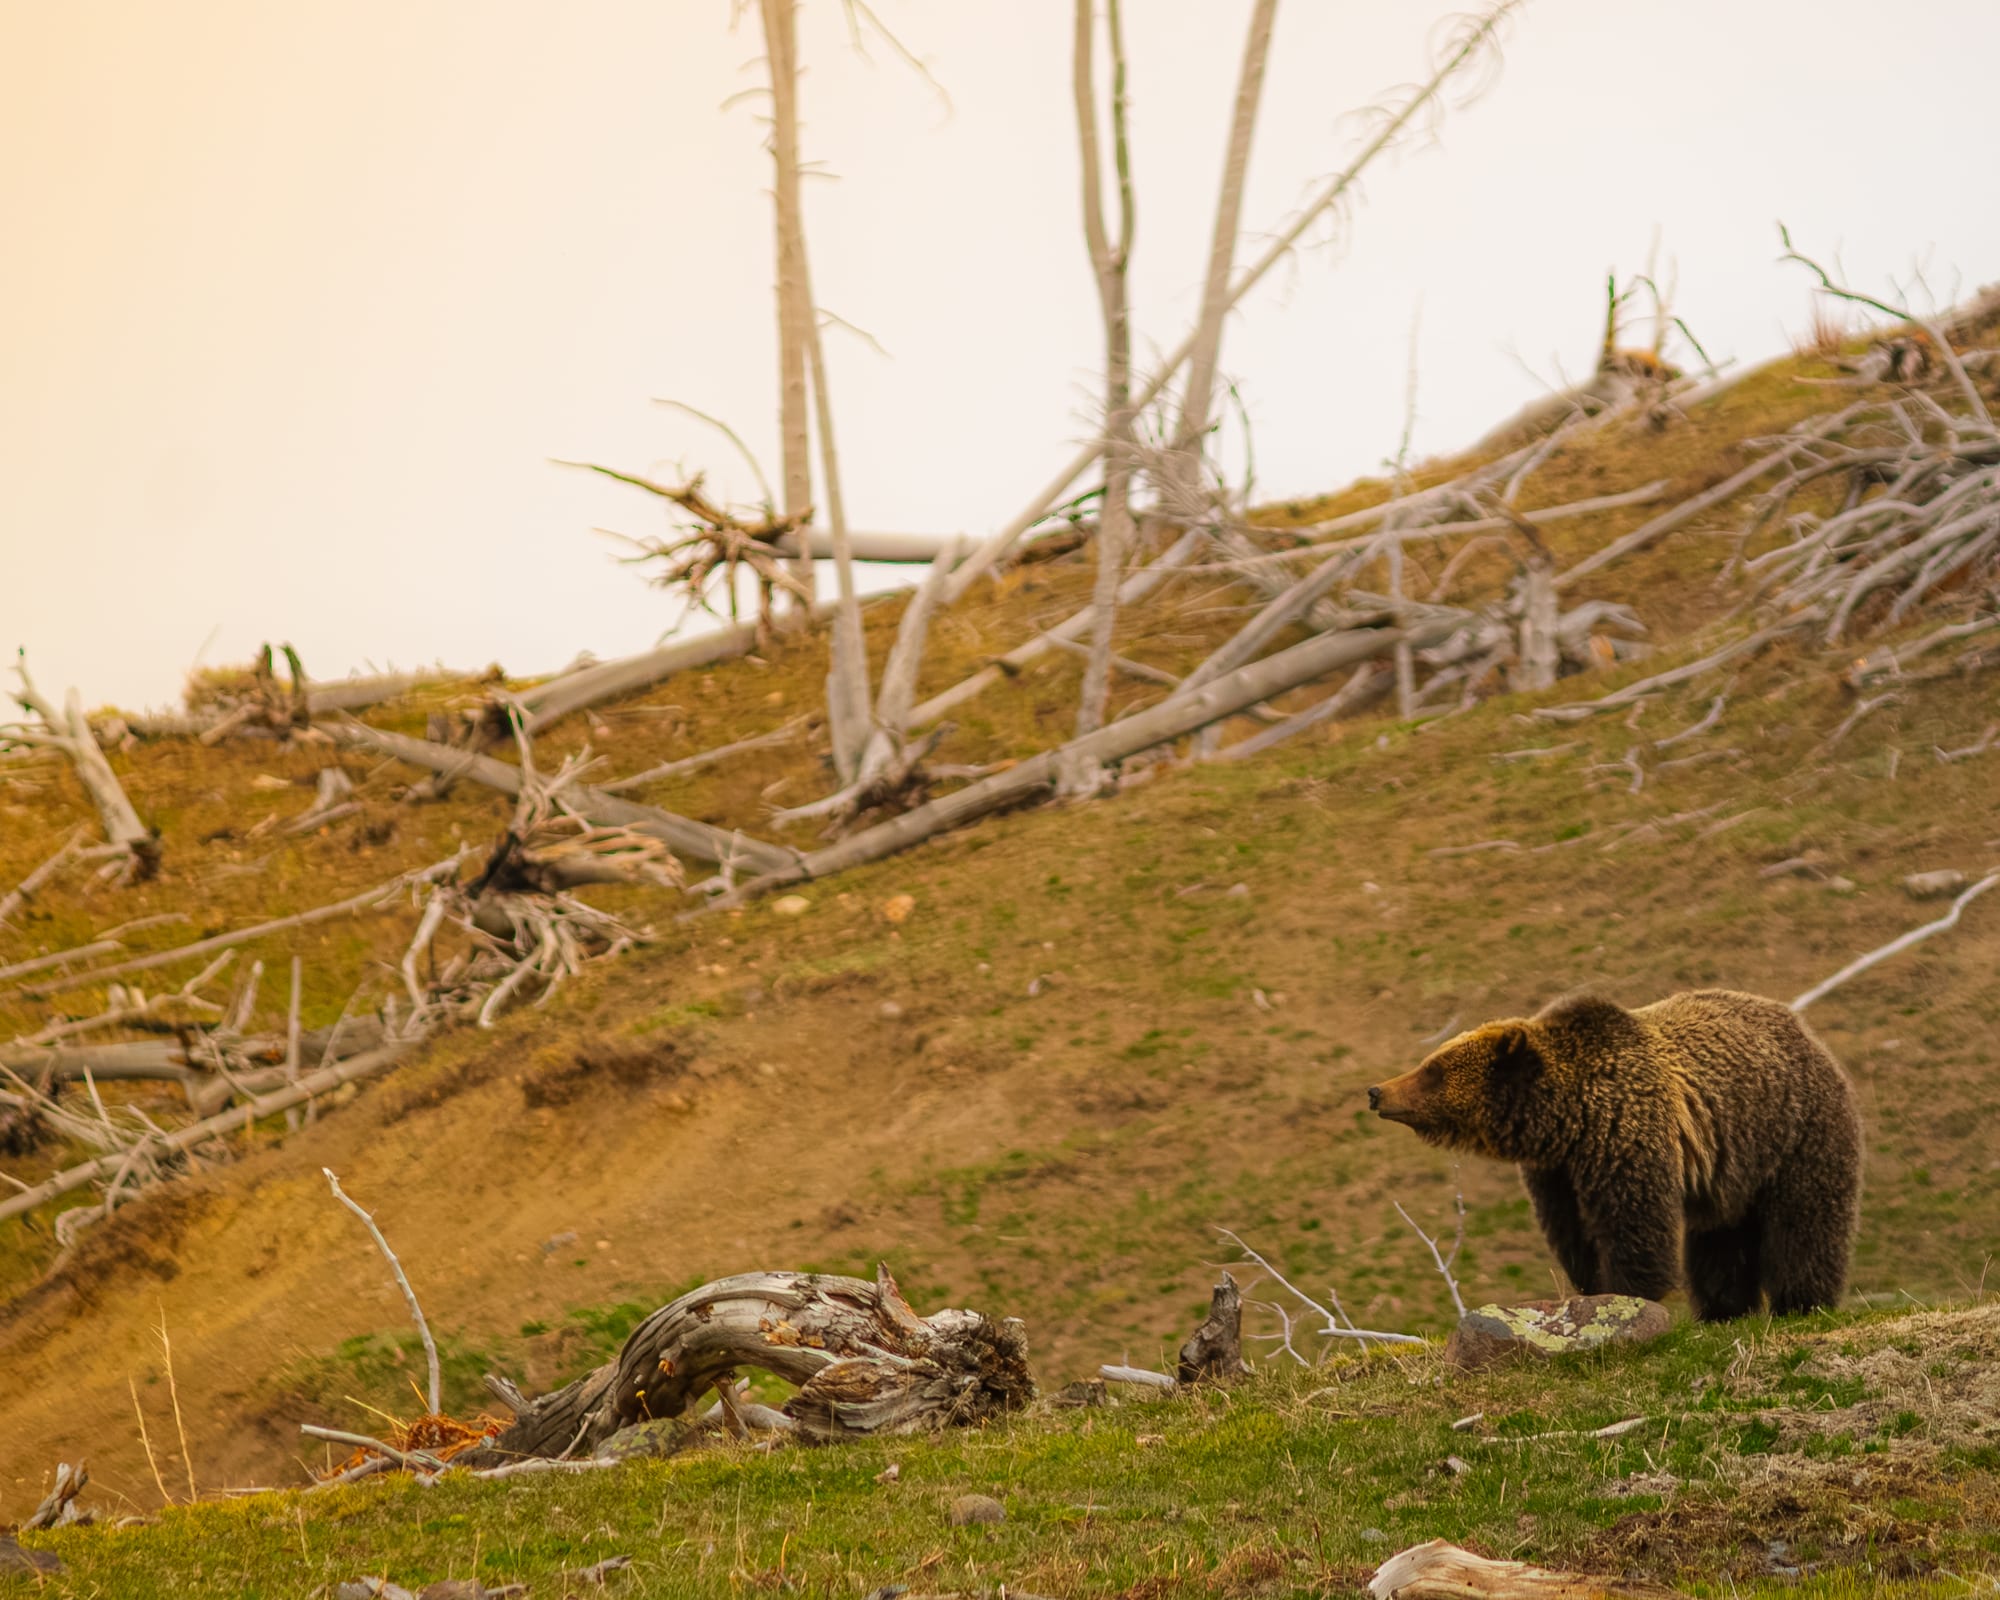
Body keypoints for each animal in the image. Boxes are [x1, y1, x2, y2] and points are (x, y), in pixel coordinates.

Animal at [1366, 989, 1862, 1321]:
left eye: (1433, 1069)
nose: (1377, 1091)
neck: (1569, 1118)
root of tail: (1808, 1035)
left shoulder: (1627, 1135)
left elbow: (1633, 1226)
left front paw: (1627, 1294)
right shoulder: (1558, 1173)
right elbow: (1575, 1235)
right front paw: (1591, 1289)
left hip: (1796, 1135)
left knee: (1804, 1225)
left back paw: (1801, 1302)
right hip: (1731, 1173)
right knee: (1720, 1242)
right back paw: (1724, 1309)